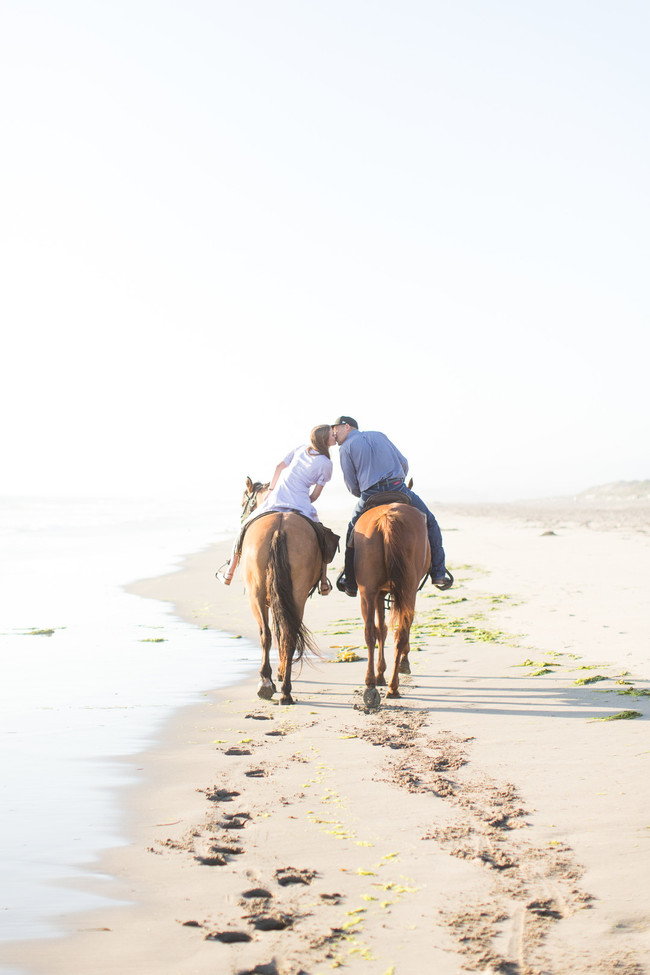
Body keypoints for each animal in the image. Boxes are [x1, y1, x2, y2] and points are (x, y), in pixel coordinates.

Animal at [237, 476, 320, 704]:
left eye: (243, 503)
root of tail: (279, 529)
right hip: (295, 596)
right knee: (287, 634)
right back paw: (285, 690)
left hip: (257, 595)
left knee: (267, 633)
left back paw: (268, 682)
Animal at [350, 504, 430, 708]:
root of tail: (388, 518)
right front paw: (401, 664)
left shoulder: (379, 593)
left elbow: (382, 630)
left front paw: (381, 673)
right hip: (406, 591)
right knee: (399, 633)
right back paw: (392, 686)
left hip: (368, 592)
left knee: (371, 633)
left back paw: (373, 686)